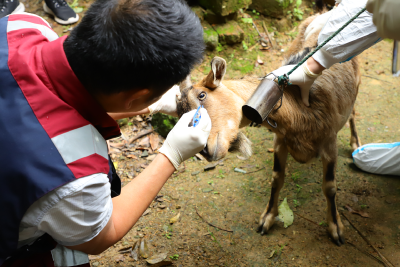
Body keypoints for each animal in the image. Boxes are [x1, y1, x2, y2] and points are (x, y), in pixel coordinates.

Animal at [177, 13, 360, 246]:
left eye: (202, 95)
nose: (207, 152)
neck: (300, 109)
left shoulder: (329, 142)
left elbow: (330, 187)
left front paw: (336, 228)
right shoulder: (281, 140)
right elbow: (276, 178)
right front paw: (267, 219)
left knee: (353, 112)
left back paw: (356, 143)